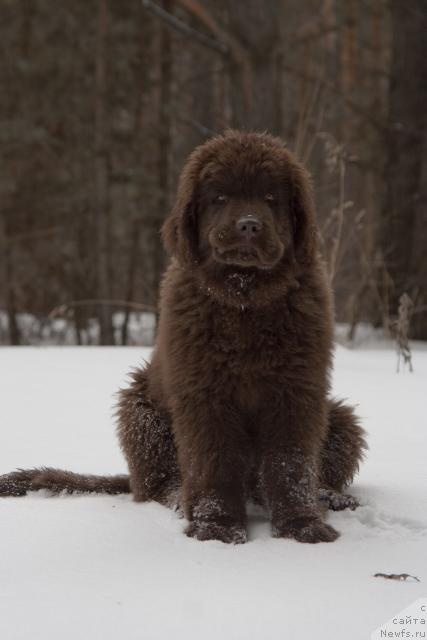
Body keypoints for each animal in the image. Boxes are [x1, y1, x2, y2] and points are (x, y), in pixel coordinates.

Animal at [0, 130, 368, 544]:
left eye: (271, 197)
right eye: (220, 197)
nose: (249, 225)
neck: (244, 302)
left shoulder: (297, 390)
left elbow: (291, 464)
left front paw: (302, 525)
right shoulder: (203, 394)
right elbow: (214, 461)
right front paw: (217, 527)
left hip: (340, 418)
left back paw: (330, 496)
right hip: (140, 412)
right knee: (157, 484)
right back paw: (181, 499)